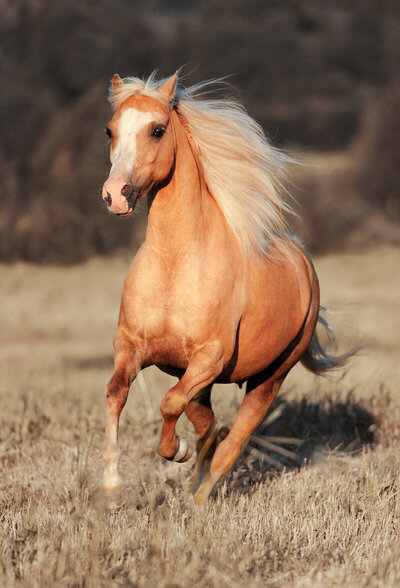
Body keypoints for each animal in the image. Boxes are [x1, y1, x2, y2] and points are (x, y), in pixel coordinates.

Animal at [101, 71, 354, 506]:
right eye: (110, 130)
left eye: (157, 129)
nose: (115, 195)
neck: (175, 265)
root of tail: (302, 259)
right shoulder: (132, 347)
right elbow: (117, 392)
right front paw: (113, 483)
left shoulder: (209, 360)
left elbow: (170, 404)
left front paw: (177, 452)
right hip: (200, 381)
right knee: (211, 425)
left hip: (269, 379)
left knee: (232, 442)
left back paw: (199, 501)